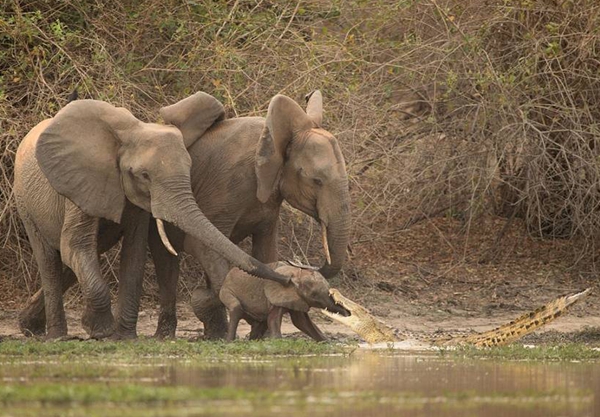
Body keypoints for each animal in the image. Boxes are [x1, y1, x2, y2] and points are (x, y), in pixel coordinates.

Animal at [15, 93, 292, 338]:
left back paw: (30, 326)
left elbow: (134, 252)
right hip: (25, 202)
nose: (288, 278)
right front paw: (100, 331)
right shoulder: (80, 183)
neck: (131, 132)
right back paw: (54, 336)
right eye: (144, 175)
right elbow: (75, 244)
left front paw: (124, 338)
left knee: (81, 258)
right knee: (51, 260)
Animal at [218, 262, 350, 340]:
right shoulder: (276, 295)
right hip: (226, 291)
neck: (297, 273)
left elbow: (302, 322)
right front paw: (277, 342)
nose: (348, 313)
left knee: (260, 323)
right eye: (314, 295)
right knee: (236, 308)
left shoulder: (296, 298)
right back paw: (230, 342)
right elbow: (274, 319)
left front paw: (326, 342)